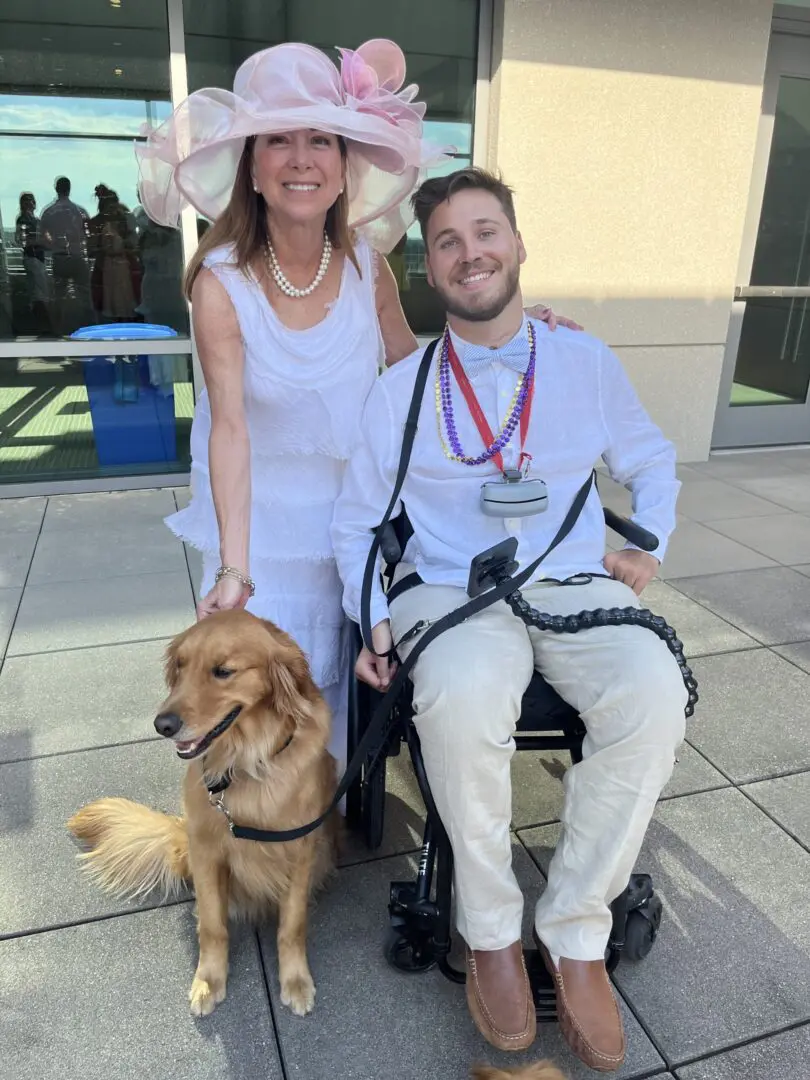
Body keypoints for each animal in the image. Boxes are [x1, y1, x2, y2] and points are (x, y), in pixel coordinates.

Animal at [65, 613, 339, 1015]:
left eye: (223, 671)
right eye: (180, 667)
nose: (162, 725)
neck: (244, 765)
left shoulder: (300, 852)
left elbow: (292, 926)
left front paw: (295, 981)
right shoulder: (207, 852)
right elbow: (211, 925)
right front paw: (209, 980)